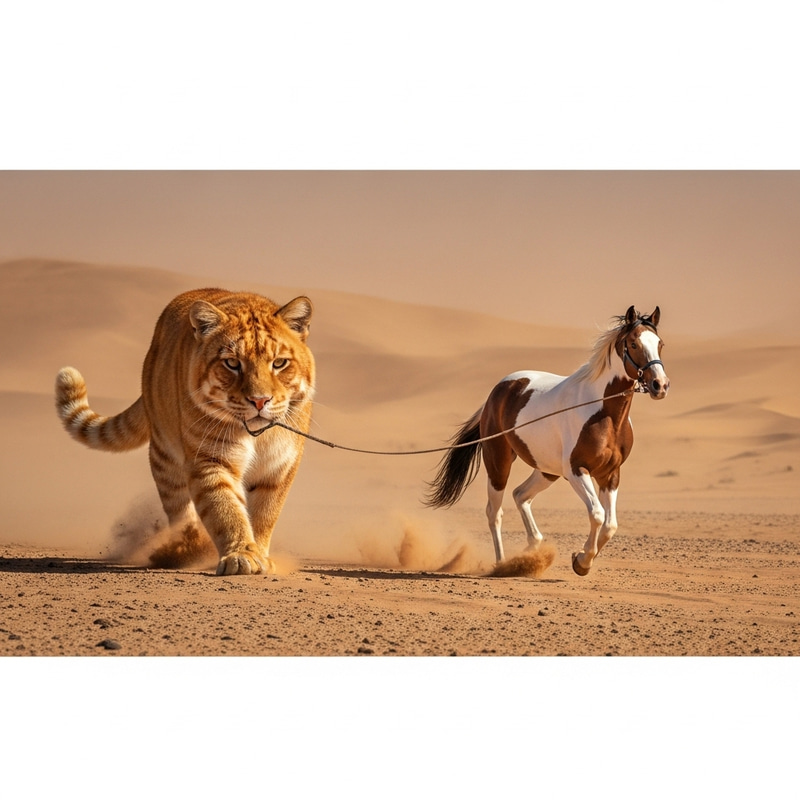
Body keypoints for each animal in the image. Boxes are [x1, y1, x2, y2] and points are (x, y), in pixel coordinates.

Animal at [425, 306, 670, 576]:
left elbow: (610, 524)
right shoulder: (576, 471)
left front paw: (581, 560)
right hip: (499, 463)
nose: (660, 385)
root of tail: (497, 392)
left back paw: (533, 549)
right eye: (634, 343)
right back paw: (502, 564)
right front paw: (582, 560)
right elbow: (596, 514)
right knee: (494, 512)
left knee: (520, 495)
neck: (602, 413)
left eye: (659, 343)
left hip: (547, 470)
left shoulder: (610, 474)